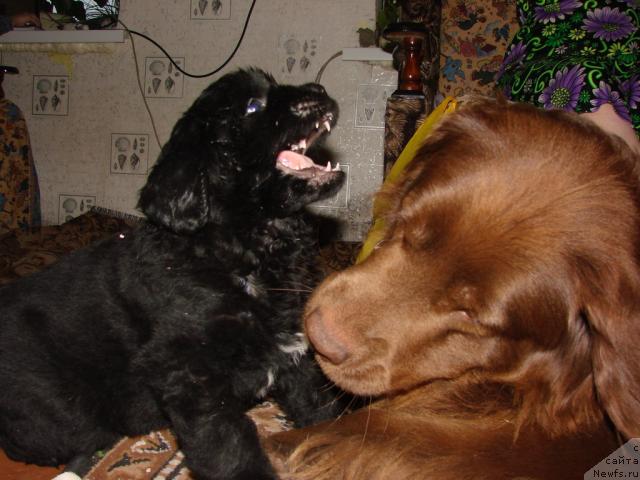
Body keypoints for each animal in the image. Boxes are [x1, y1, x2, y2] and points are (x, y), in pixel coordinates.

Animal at [0, 68, 344, 480]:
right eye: (252, 105)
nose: (320, 89)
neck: (241, 248)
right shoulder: (188, 374)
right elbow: (229, 445)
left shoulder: (293, 348)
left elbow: (318, 405)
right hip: (62, 411)